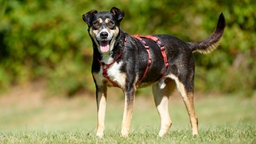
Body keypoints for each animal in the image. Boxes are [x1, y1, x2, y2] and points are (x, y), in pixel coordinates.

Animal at [81, 6, 224, 137]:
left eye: (111, 24)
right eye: (96, 24)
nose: (104, 34)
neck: (114, 52)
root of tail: (187, 45)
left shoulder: (129, 89)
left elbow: (126, 118)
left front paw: (123, 137)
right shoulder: (101, 88)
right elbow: (100, 117)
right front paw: (99, 137)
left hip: (185, 87)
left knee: (194, 117)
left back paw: (194, 136)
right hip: (159, 92)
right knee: (167, 120)